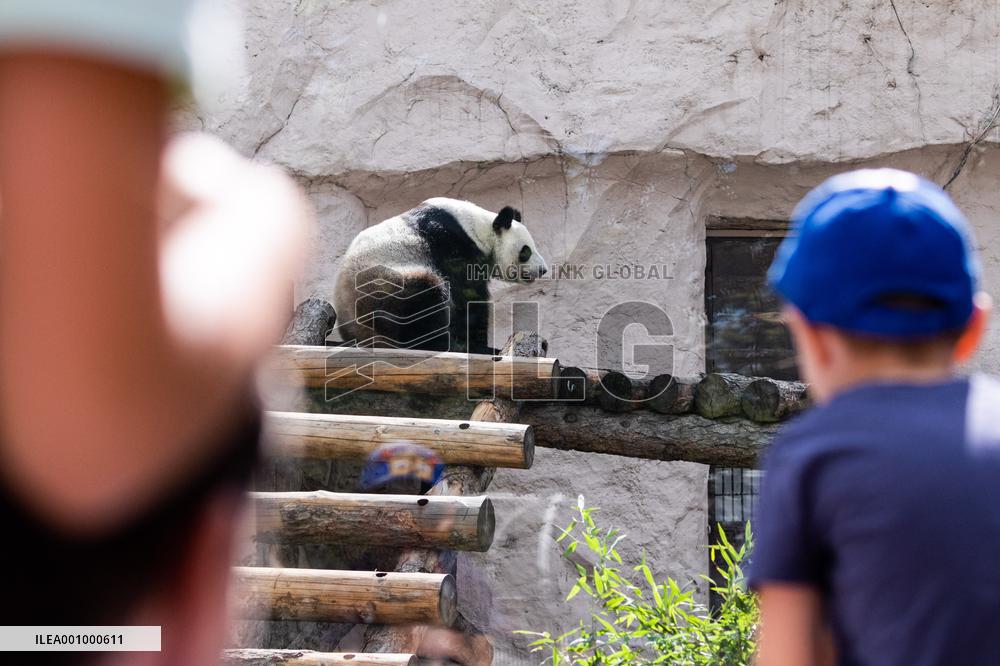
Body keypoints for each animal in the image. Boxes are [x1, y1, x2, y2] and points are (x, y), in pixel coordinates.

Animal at [333, 197, 548, 354]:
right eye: (526, 251)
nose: (543, 270)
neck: (478, 228)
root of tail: (356, 334)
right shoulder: (452, 245)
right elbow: (466, 298)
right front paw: (479, 346)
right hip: (381, 285)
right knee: (424, 296)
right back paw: (442, 345)